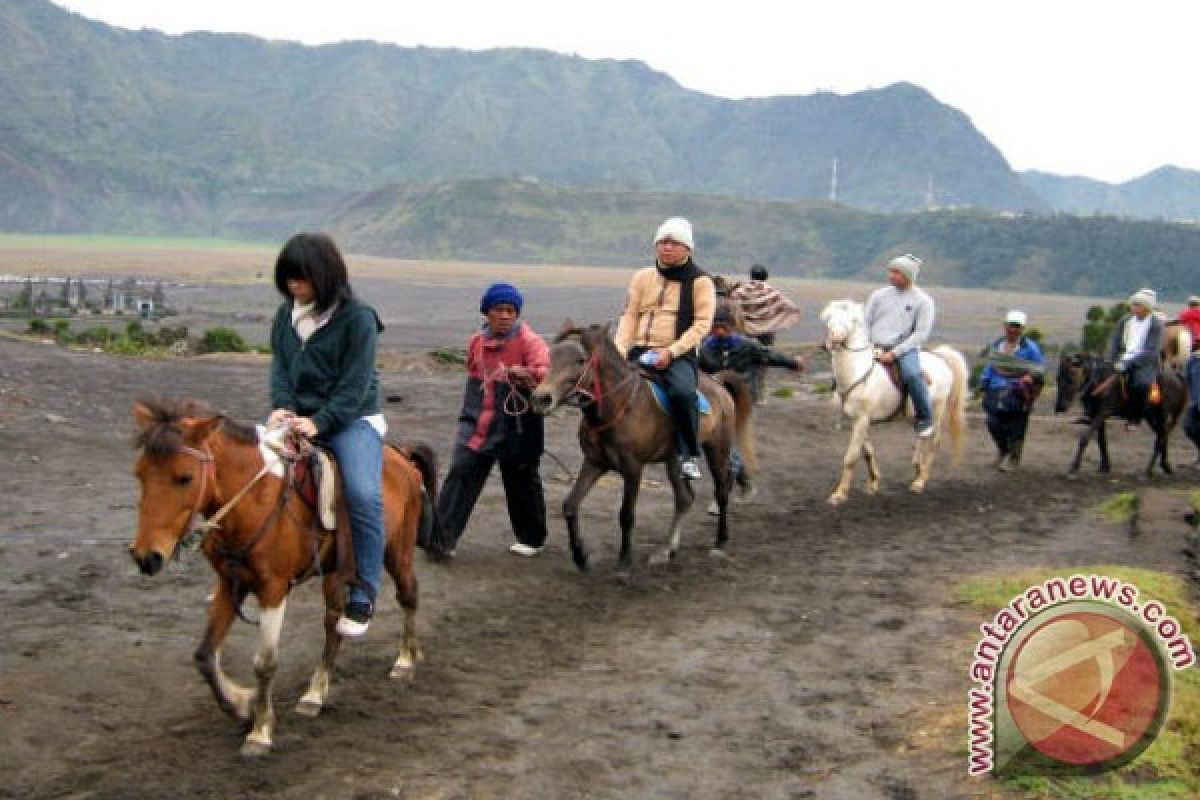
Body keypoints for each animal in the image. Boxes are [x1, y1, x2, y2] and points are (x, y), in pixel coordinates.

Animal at [129, 400, 436, 758]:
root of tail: (402, 456)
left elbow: (264, 663)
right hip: (333, 570)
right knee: (333, 623)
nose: (146, 556)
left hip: (396, 550)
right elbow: (205, 656)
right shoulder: (229, 584)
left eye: (184, 477)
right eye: (139, 474)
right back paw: (315, 694)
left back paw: (405, 660)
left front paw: (260, 730)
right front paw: (241, 705)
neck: (253, 502)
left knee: (408, 595)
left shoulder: (273, 589)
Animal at [530, 321, 753, 573]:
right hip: (674, 460)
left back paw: (720, 542)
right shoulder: (594, 463)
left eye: (580, 359)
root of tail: (717, 383)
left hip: (718, 449)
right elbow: (570, 505)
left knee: (722, 490)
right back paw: (667, 550)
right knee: (684, 498)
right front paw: (580, 557)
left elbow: (626, 515)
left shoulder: (633, 469)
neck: (620, 405)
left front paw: (624, 562)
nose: (540, 399)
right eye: (550, 356)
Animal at [820, 299, 969, 506]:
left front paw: (839, 494)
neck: (857, 372)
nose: (833, 339)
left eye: (852, 320)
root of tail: (941, 357)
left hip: (937, 410)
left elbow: (851, 457)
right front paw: (873, 483)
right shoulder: (858, 421)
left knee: (934, 441)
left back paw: (921, 481)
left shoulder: (861, 420)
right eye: (829, 318)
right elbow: (867, 452)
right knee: (922, 437)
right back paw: (917, 471)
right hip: (917, 415)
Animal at [1056, 355, 1185, 474]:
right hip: (1151, 417)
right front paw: (1105, 467)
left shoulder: (1102, 413)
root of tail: (1177, 378)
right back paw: (1165, 466)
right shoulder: (1097, 416)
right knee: (1162, 436)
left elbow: (1084, 438)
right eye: (1058, 378)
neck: (1101, 381)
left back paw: (1149, 471)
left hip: (1162, 415)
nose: (1061, 406)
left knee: (1161, 437)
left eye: (1072, 375)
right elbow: (1102, 441)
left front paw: (1074, 466)